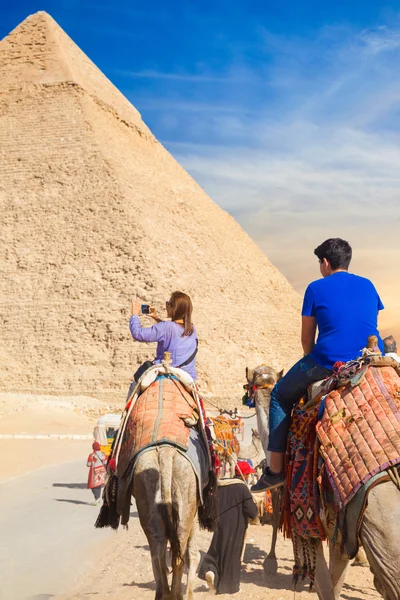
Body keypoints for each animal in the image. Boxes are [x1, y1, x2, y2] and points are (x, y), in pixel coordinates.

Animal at [132, 446, 199, 600]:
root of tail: (165, 453)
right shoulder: (194, 518)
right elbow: (193, 554)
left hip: (146, 496)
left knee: (158, 557)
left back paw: (164, 595)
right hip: (186, 504)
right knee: (178, 559)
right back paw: (176, 595)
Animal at [247, 364, 400, 600]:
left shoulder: (308, 527)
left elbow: (326, 589)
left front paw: (269, 564)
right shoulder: (340, 533)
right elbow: (334, 587)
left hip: (386, 539)